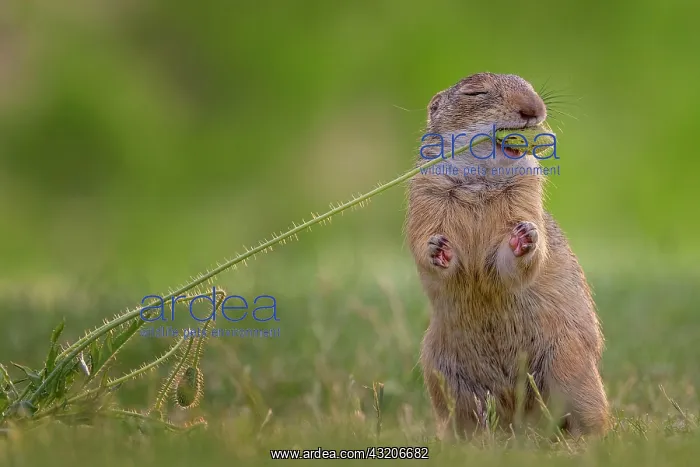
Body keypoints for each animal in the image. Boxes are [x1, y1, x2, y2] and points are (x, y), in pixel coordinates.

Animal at [405, 73, 609, 438]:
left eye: (529, 85)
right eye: (475, 92)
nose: (534, 109)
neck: (480, 181)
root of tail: (519, 418)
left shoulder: (526, 191)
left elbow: (512, 264)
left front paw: (525, 237)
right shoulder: (425, 195)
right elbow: (423, 242)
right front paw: (438, 250)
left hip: (572, 367)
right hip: (442, 374)